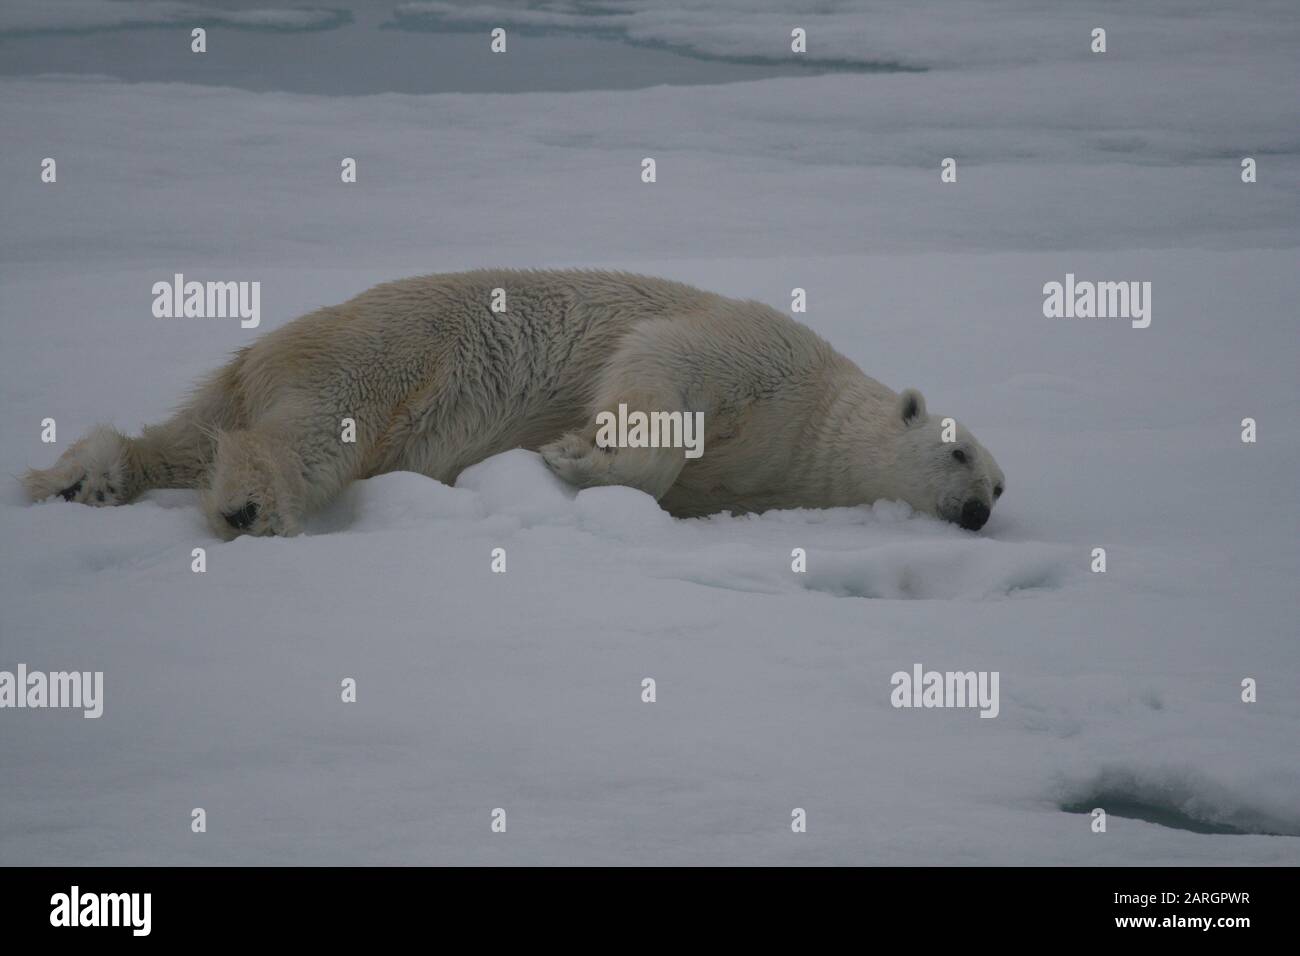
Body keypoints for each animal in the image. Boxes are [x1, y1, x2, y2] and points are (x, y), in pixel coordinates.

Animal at [22, 269, 1003, 538]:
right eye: (960, 452)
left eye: (1001, 485)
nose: (980, 512)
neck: (813, 419)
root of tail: (258, 351)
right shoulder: (763, 351)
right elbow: (662, 365)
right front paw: (572, 452)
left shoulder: (766, 470)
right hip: (379, 354)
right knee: (311, 432)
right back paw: (250, 504)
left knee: (187, 432)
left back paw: (84, 480)